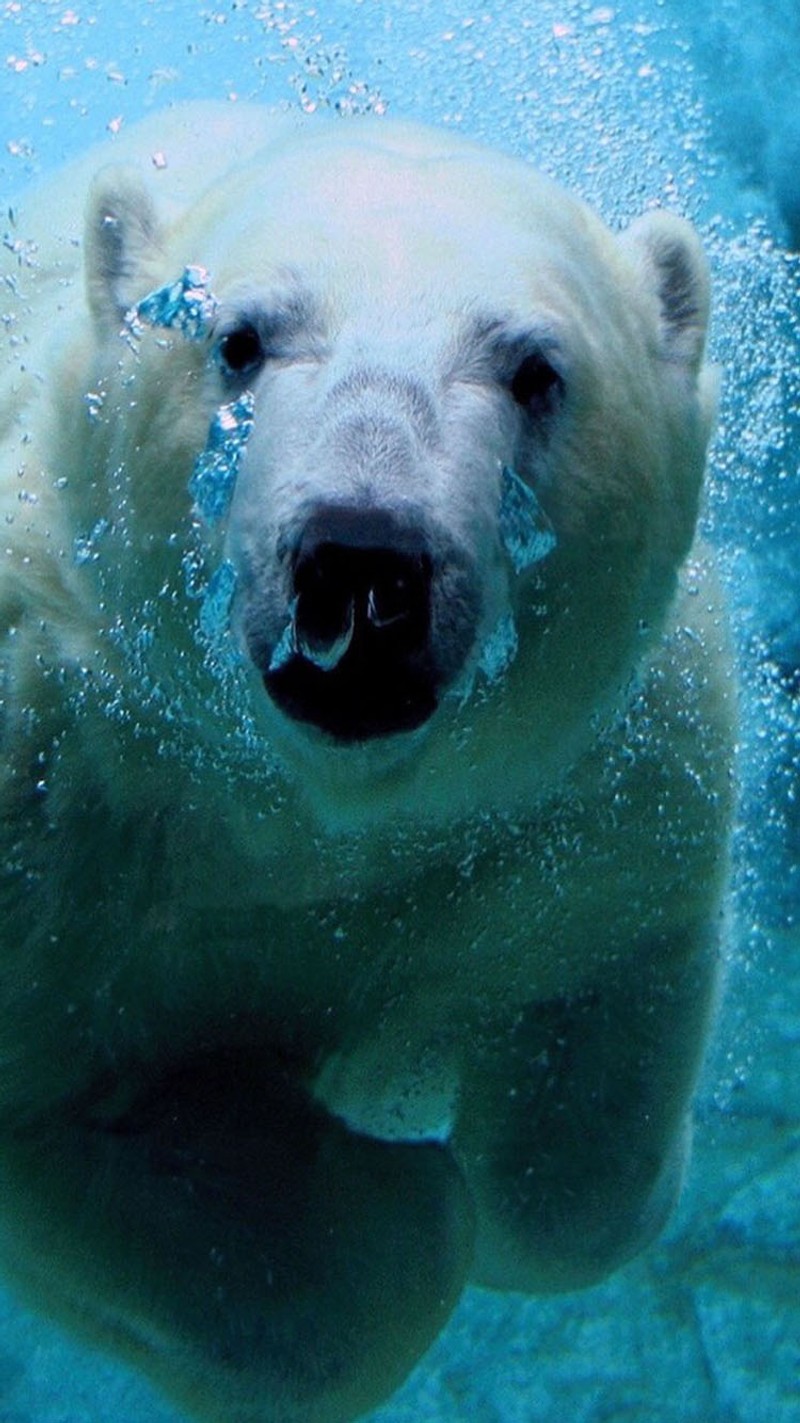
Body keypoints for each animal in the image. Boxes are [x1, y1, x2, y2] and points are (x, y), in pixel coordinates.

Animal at [0, 103, 734, 1423]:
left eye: (535, 370)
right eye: (238, 339)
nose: (361, 558)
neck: (313, 815)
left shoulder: (593, 786)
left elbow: (579, 1169)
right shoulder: (55, 797)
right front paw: (380, 1187)